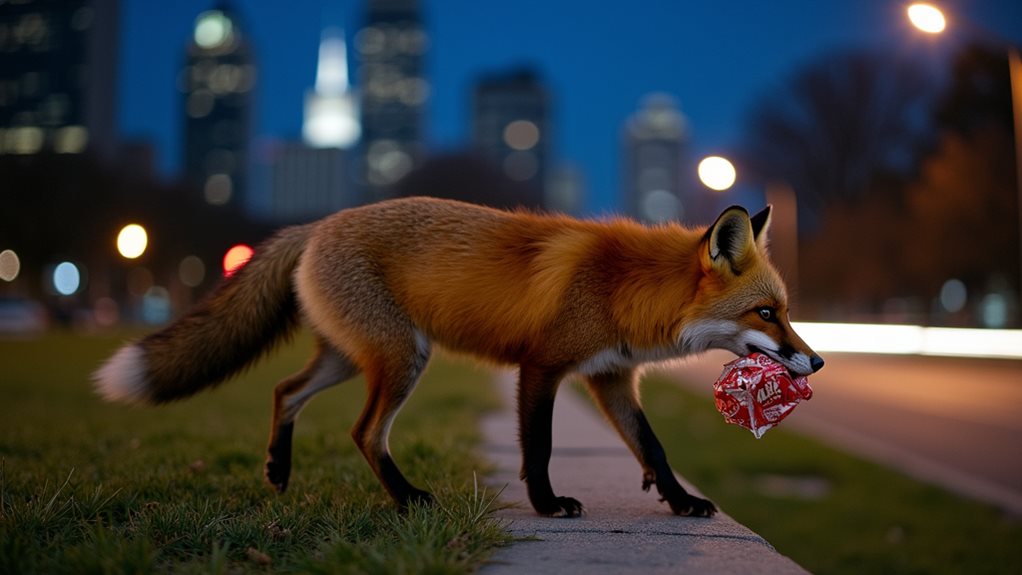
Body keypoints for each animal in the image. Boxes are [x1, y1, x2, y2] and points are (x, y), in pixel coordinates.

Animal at [94, 196, 823, 518]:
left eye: (786, 309)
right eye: (768, 313)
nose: (815, 363)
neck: (625, 287)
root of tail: (319, 223)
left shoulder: (612, 376)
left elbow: (655, 449)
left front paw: (679, 501)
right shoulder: (543, 367)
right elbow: (540, 447)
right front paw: (548, 504)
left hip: (353, 357)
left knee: (284, 390)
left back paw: (277, 470)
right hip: (400, 358)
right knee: (364, 431)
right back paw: (408, 498)